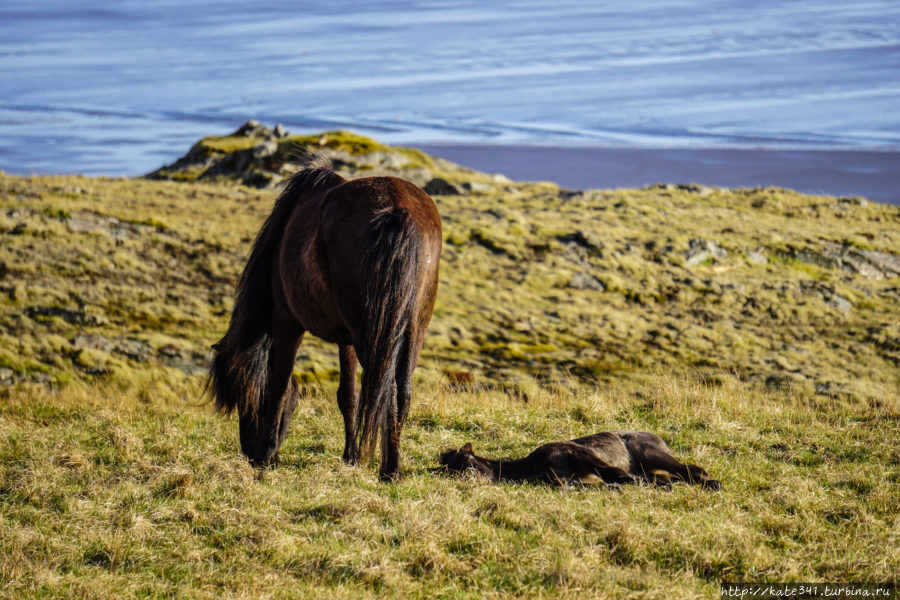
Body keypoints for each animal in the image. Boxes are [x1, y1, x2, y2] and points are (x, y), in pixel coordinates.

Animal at [207, 149, 440, 478]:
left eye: (244, 396)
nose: (250, 452)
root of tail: (398, 210)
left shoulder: (287, 321)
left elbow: (280, 386)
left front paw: (267, 455)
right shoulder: (347, 338)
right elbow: (348, 396)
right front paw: (351, 456)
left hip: (373, 337)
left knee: (387, 389)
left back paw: (389, 469)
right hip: (412, 329)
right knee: (401, 391)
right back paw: (390, 466)